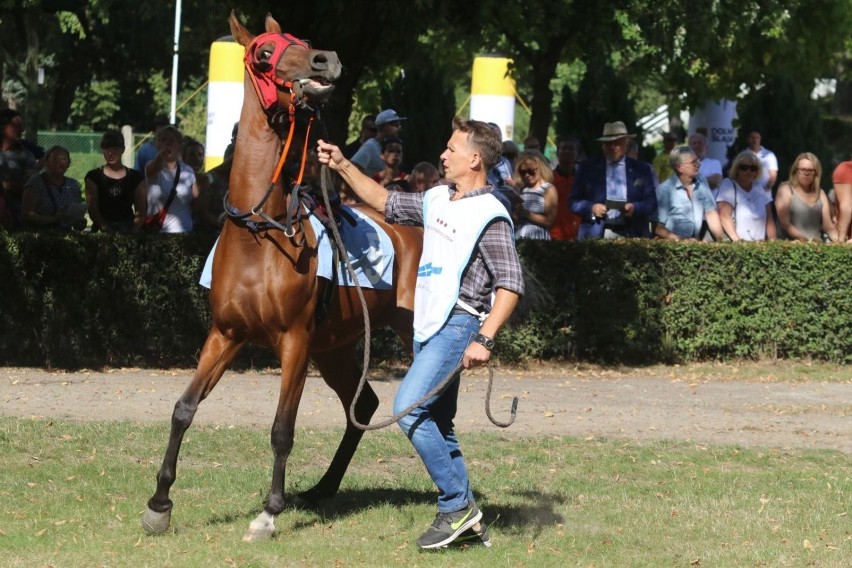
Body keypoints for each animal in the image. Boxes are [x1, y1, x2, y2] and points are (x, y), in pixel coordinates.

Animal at [142, 11, 422, 540]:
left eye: (304, 41)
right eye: (265, 53)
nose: (325, 60)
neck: (260, 234)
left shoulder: (294, 341)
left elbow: (281, 428)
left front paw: (269, 512)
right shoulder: (226, 333)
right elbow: (184, 408)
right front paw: (159, 503)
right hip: (335, 347)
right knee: (364, 406)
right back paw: (322, 488)